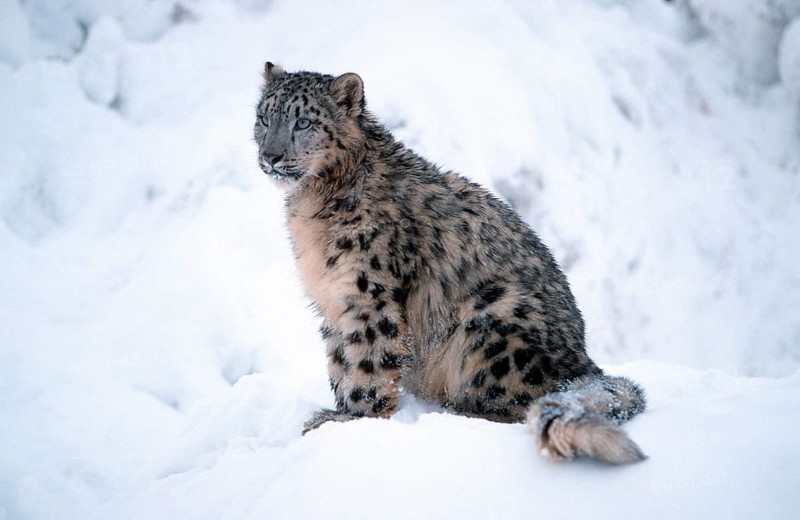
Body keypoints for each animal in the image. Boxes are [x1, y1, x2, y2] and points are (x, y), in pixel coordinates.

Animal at [254, 62, 647, 464]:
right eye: (264, 118)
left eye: (304, 122)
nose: (271, 156)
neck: (313, 208)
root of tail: (582, 363)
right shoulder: (333, 300)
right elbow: (339, 363)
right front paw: (338, 412)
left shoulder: (370, 296)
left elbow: (368, 363)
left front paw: (355, 420)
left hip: (493, 319)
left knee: (519, 402)